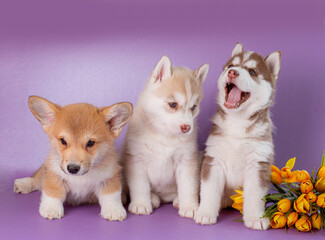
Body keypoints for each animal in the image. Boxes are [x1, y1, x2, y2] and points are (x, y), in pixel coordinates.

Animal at [121, 55, 208, 218]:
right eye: (173, 104)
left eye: (193, 107)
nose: (186, 127)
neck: (165, 135)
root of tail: (164, 198)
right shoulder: (136, 160)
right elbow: (140, 186)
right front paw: (140, 204)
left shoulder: (187, 160)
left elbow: (189, 186)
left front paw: (190, 207)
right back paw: (152, 199)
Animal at [194, 42, 280, 230]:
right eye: (231, 66)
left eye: (252, 71)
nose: (232, 72)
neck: (237, 122)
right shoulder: (214, 158)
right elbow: (209, 190)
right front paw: (205, 213)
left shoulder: (258, 162)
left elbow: (255, 195)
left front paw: (256, 218)